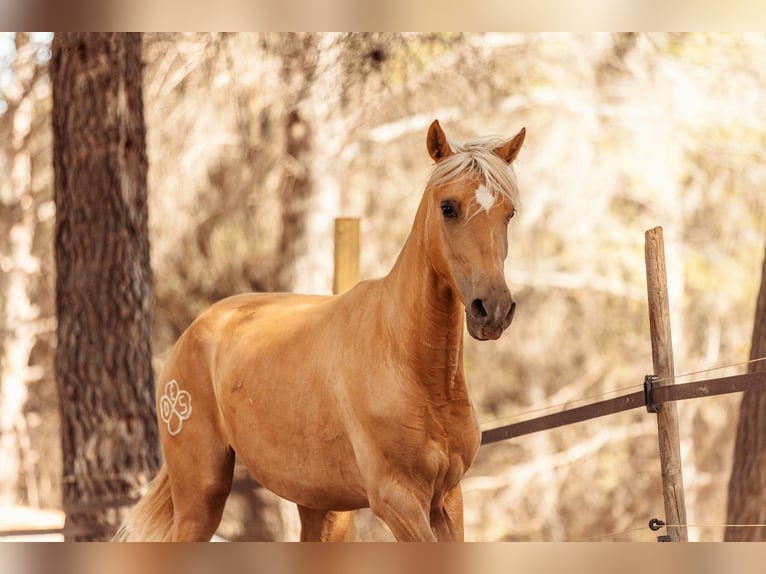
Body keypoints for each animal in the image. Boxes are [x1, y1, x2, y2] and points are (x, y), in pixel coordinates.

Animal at [117, 119, 528, 544]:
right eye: (448, 207)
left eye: (509, 213)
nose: (493, 310)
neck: (411, 365)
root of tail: (194, 331)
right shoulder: (398, 501)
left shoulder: (448, 498)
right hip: (200, 499)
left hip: (320, 505)